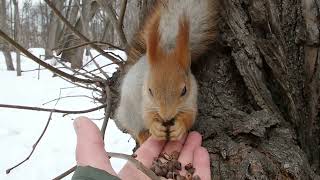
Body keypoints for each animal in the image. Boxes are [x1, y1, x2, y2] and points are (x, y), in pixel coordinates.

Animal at [116, 0, 219, 144]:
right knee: (136, 129)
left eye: (184, 90)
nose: (166, 116)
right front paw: (155, 128)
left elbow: (190, 116)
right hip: (129, 112)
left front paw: (180, 127)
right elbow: (147, 116)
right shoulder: (146, 100)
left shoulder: (191, 99)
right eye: (150, 90)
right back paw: (143, 136)